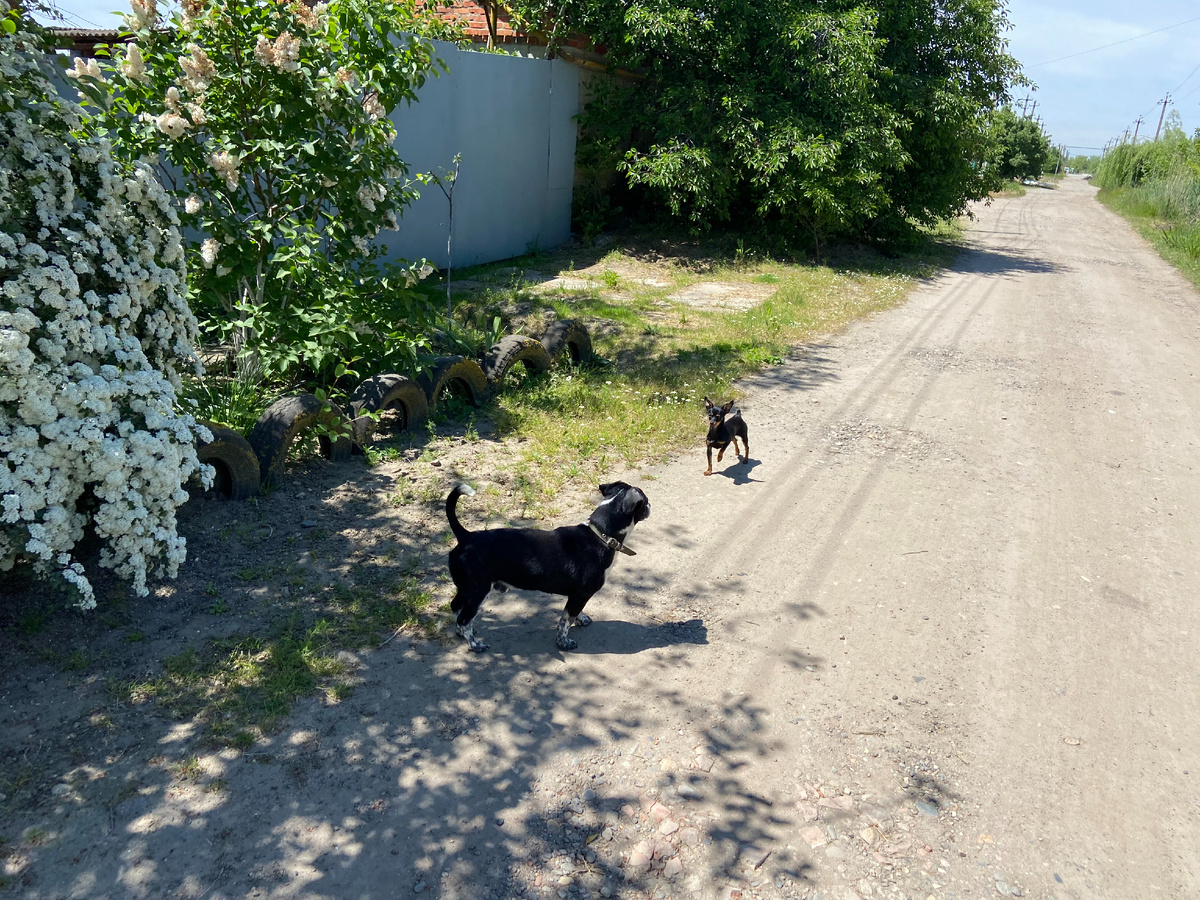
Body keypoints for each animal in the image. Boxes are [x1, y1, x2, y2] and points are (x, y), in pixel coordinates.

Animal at [445, 481, 650, 652]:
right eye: (645, 501)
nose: (650, 506)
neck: (600, 535)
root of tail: (466, 536)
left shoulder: (578, 596)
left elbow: (574, 614)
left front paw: (581, 619)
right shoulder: (580, 595)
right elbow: (565, 621)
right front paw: (563, 642)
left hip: (466, 589)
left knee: (456, 608)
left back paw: (462, 634)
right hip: (478, 591)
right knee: (464, 619)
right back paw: (474, 645)